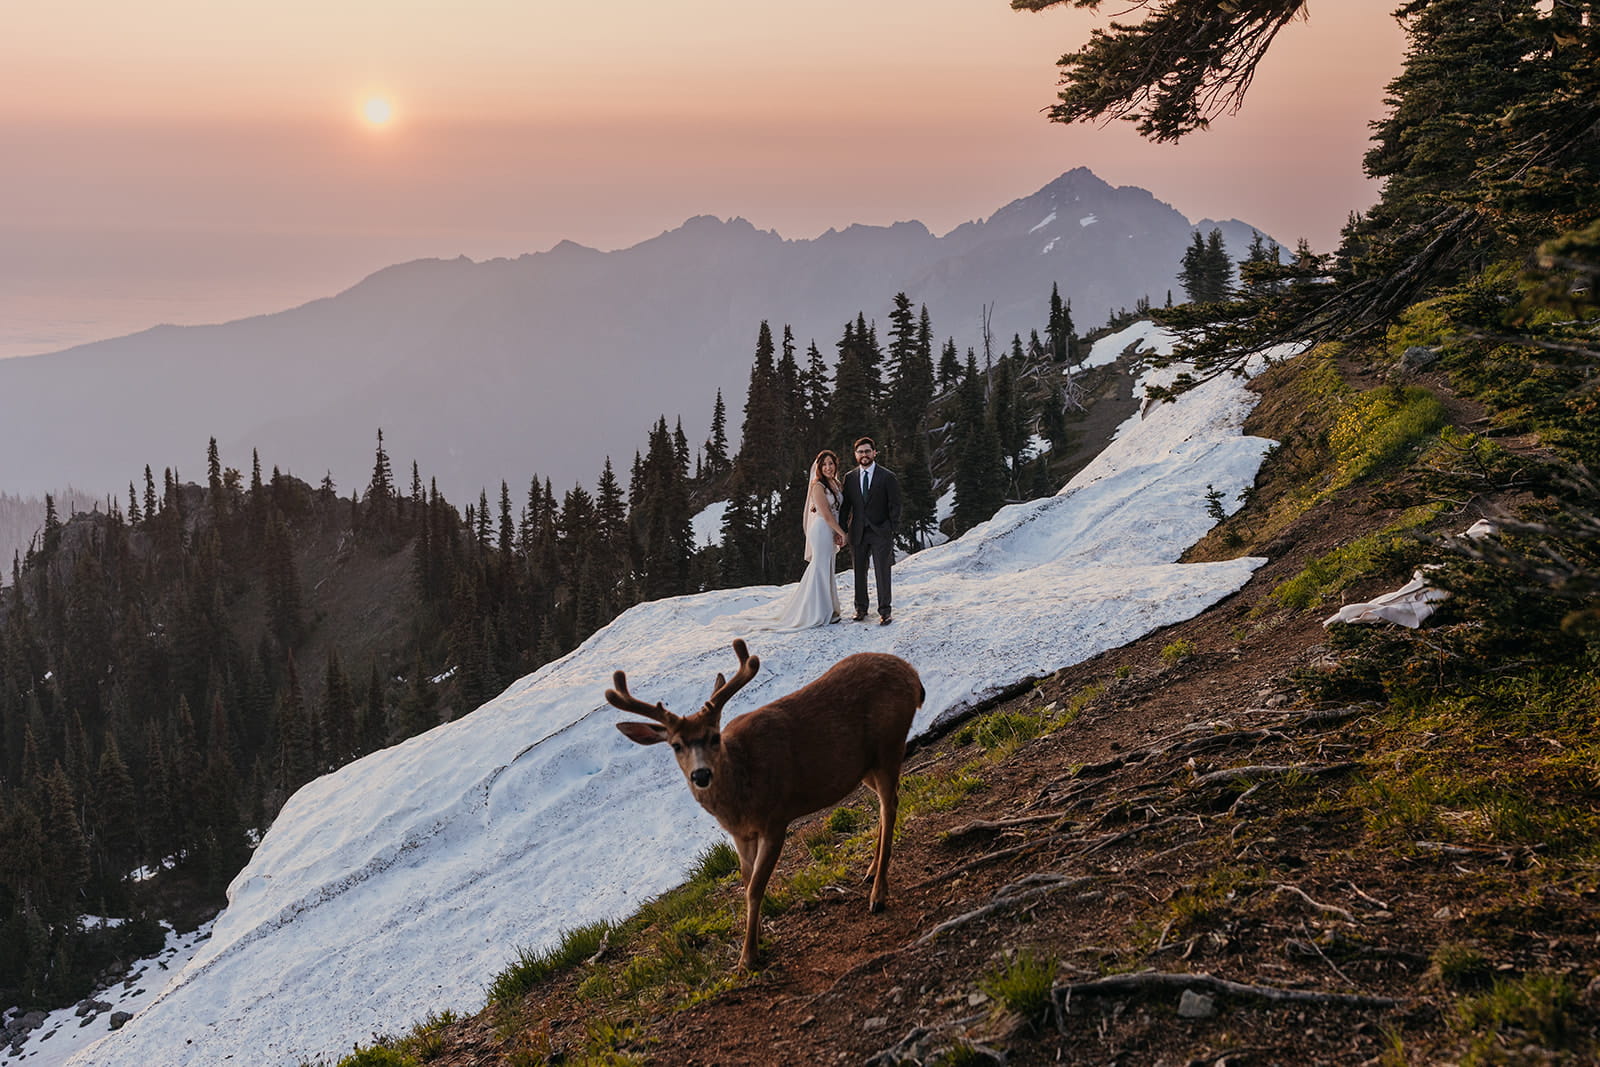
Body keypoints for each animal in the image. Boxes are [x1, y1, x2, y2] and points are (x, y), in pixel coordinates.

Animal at [607, 639, 923, 971]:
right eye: (676, 745)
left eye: (714, 737)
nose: (701, 774)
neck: (741, 794)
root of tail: (912, 674)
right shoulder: (740, 835)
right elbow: (746, 883)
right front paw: (755, 937)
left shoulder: (776, 818)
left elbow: (756, 886)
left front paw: (748, 956)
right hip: (865, 767)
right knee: (884, 804)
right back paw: (871, 871)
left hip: (889, 743)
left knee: (890, 805)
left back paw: (878, 895)